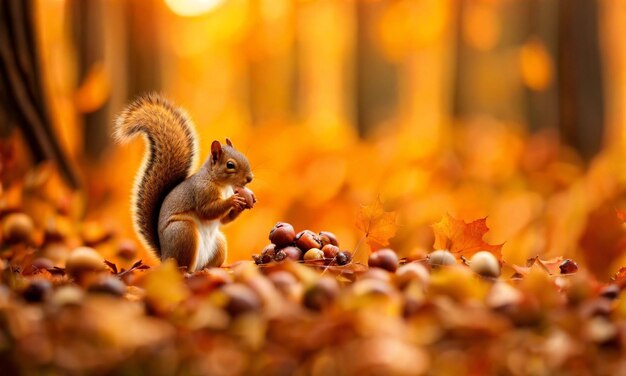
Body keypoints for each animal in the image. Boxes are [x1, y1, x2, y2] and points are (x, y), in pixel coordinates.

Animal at [114, 93, 254, 270]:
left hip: (219, 244)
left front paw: (243, 203)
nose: (250, 178)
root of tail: (165, 258)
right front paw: (233, 200)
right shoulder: (201, 191)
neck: (221, 184)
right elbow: (208, 210)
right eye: (230, 165)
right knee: (184, 267)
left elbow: (223, 220)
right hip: (183, 233)